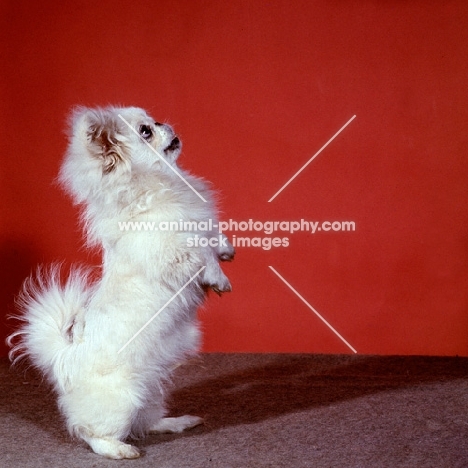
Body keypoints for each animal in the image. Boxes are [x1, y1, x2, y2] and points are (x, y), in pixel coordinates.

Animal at [7, 105, 234, 458]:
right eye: (145, 131)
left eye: (151, 122)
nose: (162, 123)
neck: (162, 183)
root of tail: (65, 361)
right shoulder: (174, 249)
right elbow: (201, 256)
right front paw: (218, 277)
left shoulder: (202, 225)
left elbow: (213, 237)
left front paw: (226, 250)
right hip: (122, 400)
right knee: (92, 433)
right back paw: (121, 450)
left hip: (150, 391)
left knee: (145, 422)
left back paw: (176, 422)